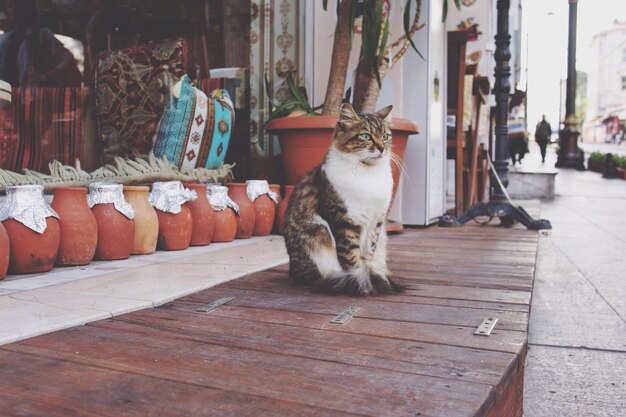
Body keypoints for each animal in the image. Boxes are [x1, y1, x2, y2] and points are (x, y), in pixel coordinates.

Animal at [282, 102, 402, 294]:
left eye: (385, 136)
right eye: (366, 136)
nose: (382, 148)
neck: (368, 173)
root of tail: (293, 274)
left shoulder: (376, 222)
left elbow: (368, 254)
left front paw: (369, 275)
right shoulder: (345, 221)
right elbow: (351, 257)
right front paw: (359, 279)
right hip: (319, 232)